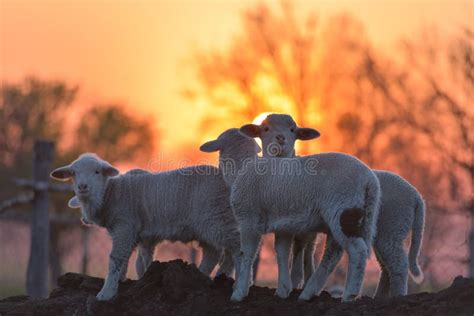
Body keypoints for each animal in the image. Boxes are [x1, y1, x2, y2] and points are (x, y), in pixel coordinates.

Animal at [50, 154, 241, 300]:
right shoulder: (135, 233)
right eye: (73, 174)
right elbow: (134, 261)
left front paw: (106, 293)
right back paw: (207, 276)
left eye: (97, 172)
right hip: (211, 224)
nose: (82, 187)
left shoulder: (125, 226)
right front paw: (124, 280)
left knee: (236, 249)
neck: (112, 193)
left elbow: (116, 258)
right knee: (214, 253)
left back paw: (236, 286)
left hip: (217, 217)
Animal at [200, 128, 382, 302]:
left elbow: (247, 253)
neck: (241, 168)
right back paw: (308, 293)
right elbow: (282, 252)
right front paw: (283, 290)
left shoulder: (249, 219)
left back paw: (349, 295)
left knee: (357, 251)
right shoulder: (283, 224)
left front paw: (239, 292)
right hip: (348, 216)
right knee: (333, 254)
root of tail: (370, 180)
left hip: (343, 209)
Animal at [241, 113, 426, 296]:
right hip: (385, 231)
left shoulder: (303, 227)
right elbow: (300, 252)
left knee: (396, 264)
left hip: (389, 227)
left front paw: (295, 283)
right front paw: (297, 283)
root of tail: (416, 196)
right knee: (386, 268)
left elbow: (300, 252)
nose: (280, 138)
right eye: (265, 129)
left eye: (293, 130)